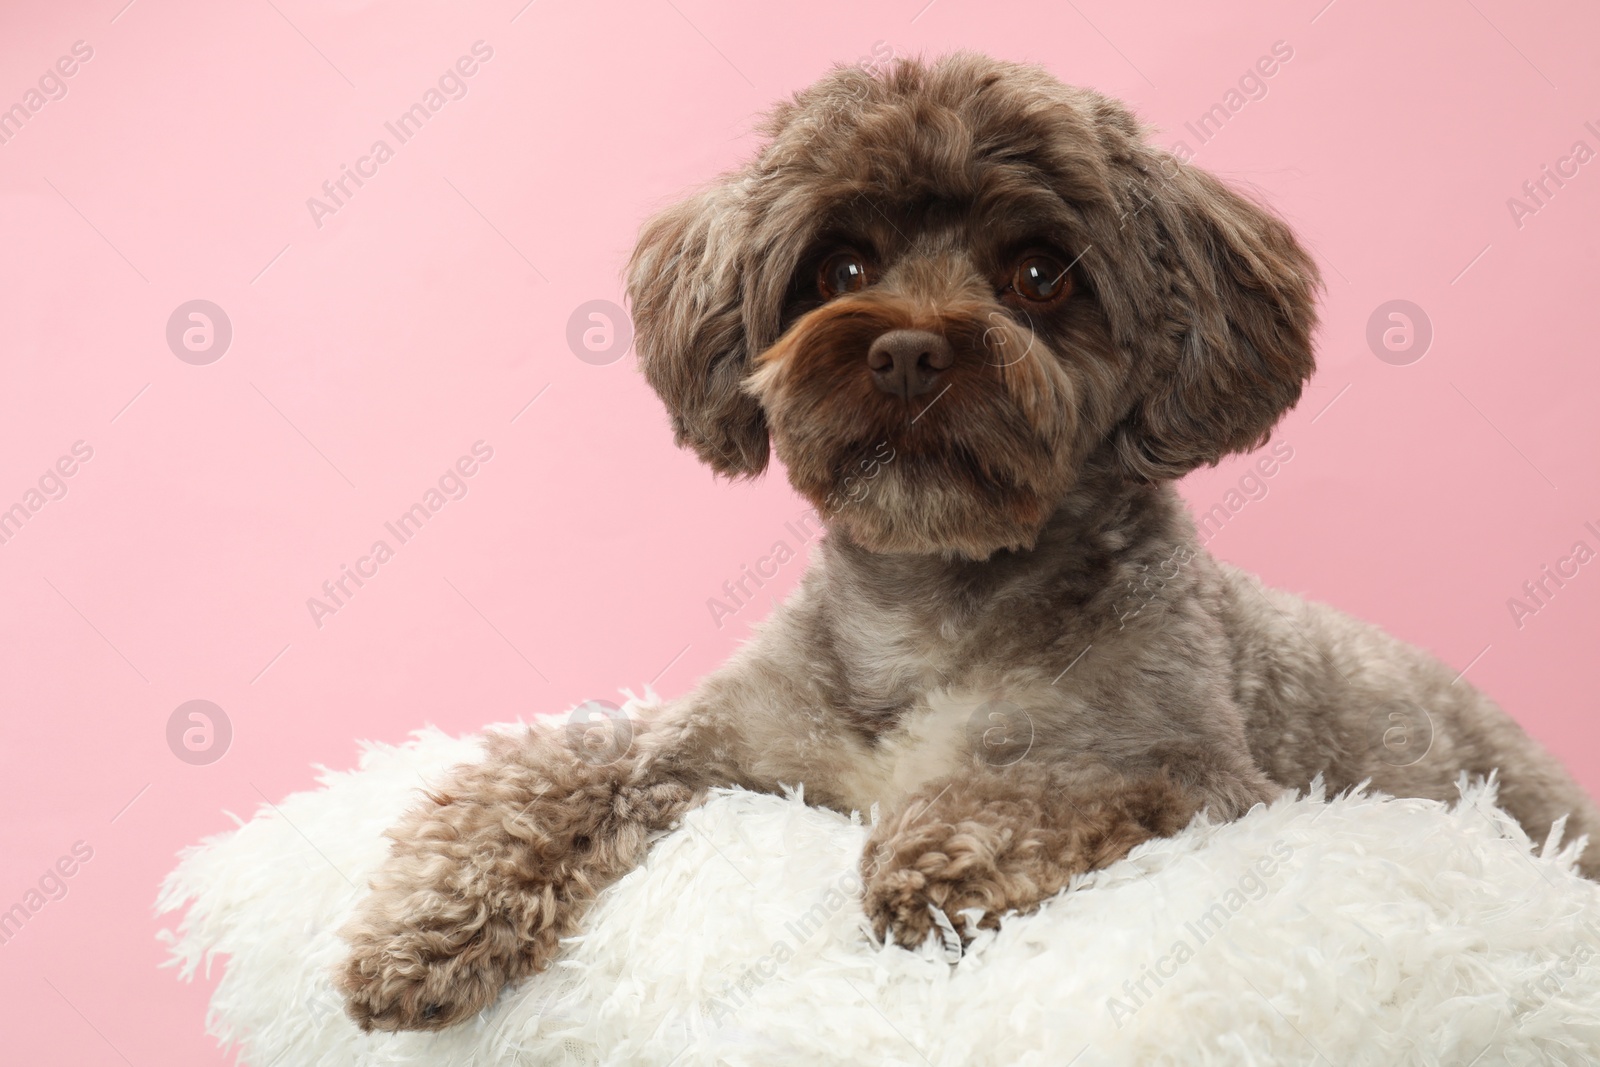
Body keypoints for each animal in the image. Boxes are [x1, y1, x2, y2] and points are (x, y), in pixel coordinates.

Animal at [331, 51, 1593, 1036]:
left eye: (1037, 273)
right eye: (839, 267)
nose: (903, 351)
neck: (930, 604)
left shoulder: (1203, 778)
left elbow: (1040, 784)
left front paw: (929, 858)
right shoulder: (705, 751)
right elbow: (544, 771)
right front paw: (425, 922)